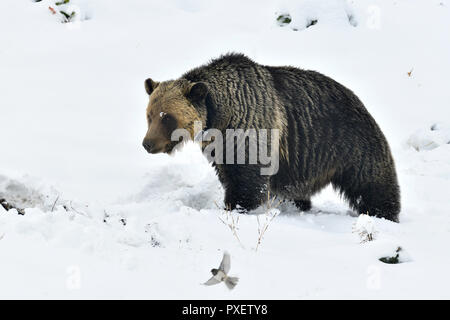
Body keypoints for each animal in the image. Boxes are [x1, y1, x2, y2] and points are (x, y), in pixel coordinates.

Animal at [142, 53, 400, 222]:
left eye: (167, 117)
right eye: (150, 115)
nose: (147, 144)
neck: (221, 116)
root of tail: (357, 98)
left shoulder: (250, 129)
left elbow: (246, 179)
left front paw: (235, 206)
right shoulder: (220, 146)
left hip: (348, 142)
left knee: (371, 181)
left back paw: (383, 213)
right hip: (301, 158)